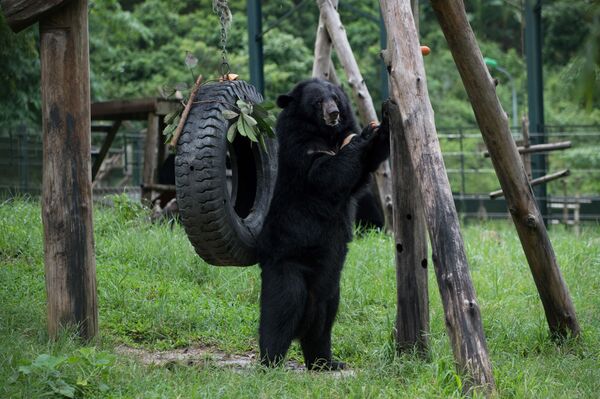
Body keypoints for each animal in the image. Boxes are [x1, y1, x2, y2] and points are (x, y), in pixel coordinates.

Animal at [256, 79, 390, 372]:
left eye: (336, 98)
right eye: (317, 102)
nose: (334, 114)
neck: (326, 135)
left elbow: (362, 171)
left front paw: (382, 121)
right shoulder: (299, 148)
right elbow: (324, 175)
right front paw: (364, 134)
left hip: (331, 281)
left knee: (324, 319)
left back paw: (326, 361)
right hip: (288, 262)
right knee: (281, 309)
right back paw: (270, 361)